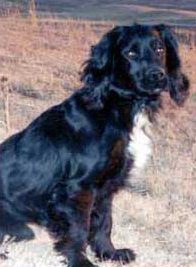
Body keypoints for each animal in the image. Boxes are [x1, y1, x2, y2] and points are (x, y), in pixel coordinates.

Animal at [0, 24, 190, 266]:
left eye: (159, 49)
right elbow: (79, 229)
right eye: (130, 53)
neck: (118, 106)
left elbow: (104, 223)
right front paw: (80, 260)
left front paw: (109, 253)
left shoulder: (105, 185)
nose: (158, 75)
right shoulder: (78, 188)